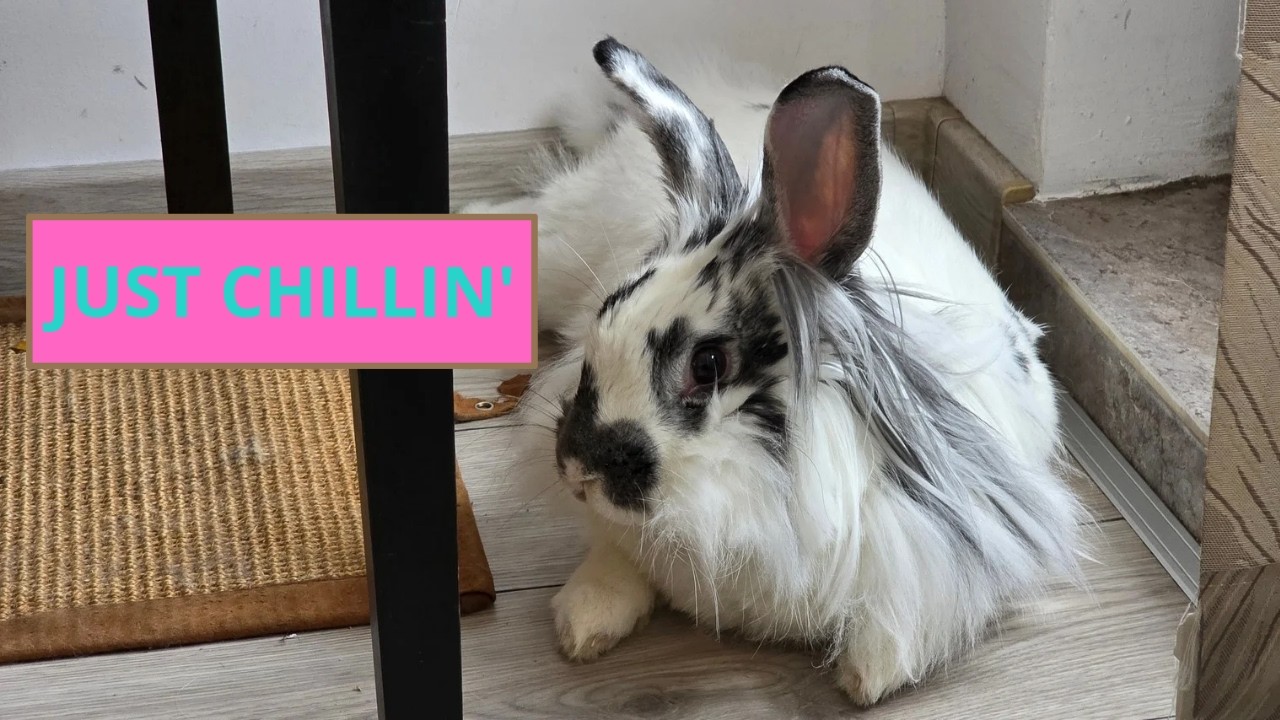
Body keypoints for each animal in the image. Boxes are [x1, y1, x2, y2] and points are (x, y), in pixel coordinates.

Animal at [459, 37, 1087, 706]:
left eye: (708, 364)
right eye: (601, 325)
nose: (577, 471)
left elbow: (908, 617)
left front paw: (869, 675)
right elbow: (613, 562)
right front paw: (583, 625)